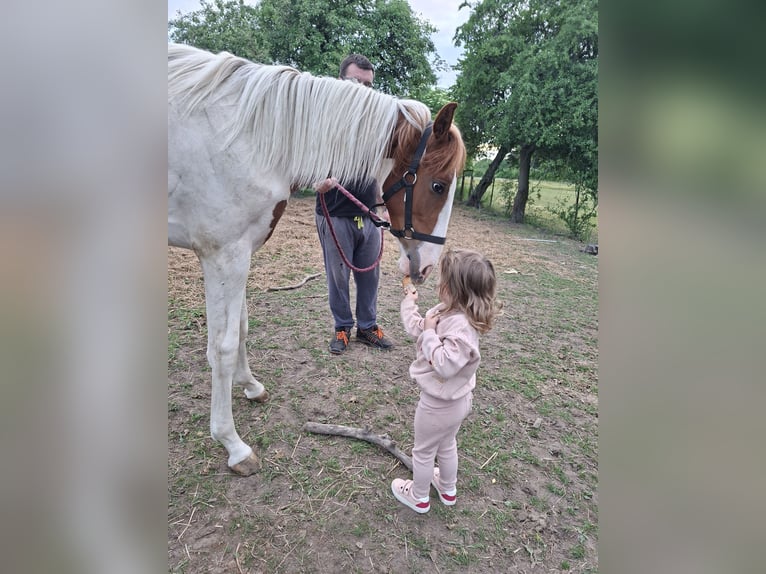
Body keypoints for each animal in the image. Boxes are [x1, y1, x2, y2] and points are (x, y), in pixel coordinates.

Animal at [168, 43, 466, 475]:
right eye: (438, 185)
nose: (426, 265)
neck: (250, 136)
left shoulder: (238, 254)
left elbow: (240, 326)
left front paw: (250, 386)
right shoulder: (223, 255)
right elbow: (221, 346)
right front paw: (232, 443)